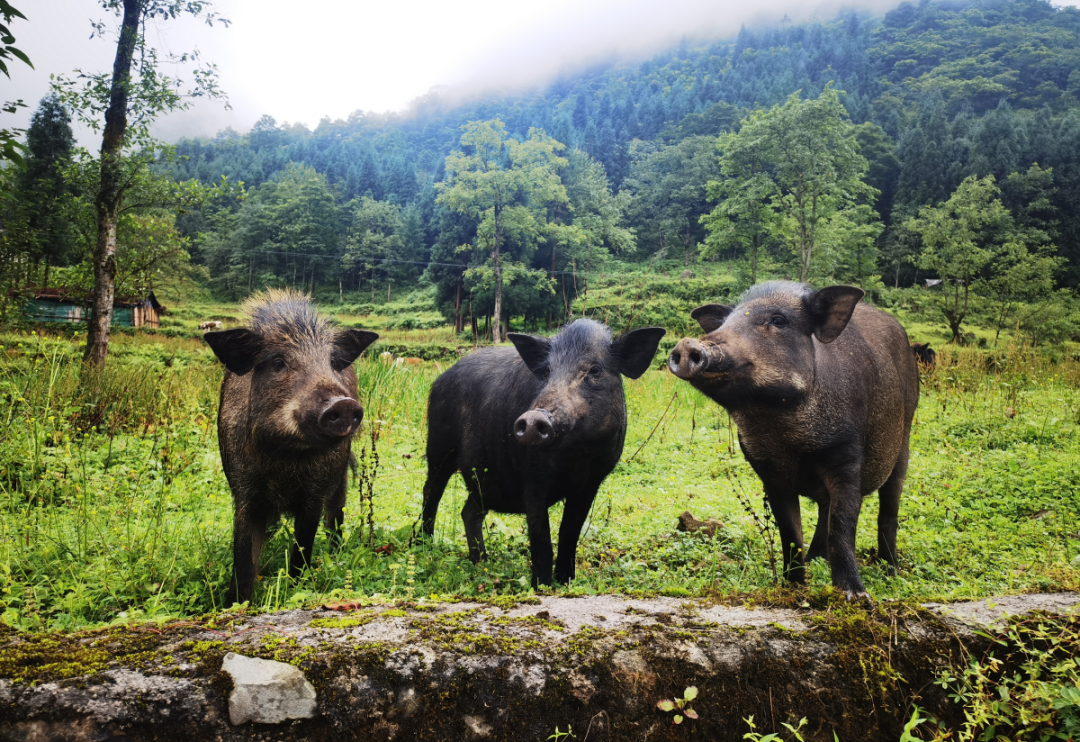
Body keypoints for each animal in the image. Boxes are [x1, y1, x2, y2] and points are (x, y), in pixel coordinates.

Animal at [203, 287, 380, 604]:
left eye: (331, 362)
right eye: (277, 363)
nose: (343, 404)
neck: (284, 456)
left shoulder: (315, 490)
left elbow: (303, 546)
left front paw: (296, 587)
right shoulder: (243, 490)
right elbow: (244, 556)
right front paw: (235, 604)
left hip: (340, 480)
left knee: (336, 517)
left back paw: (337, 553)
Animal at [421, 319, 665, 587]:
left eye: (595, 370)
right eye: (547, 371)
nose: (532, 418)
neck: (576, 457)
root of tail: (440, 378)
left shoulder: (593, 480)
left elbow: (569, 531)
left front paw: (566, 581)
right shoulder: (532, 475)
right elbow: (540, 534)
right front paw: (542, 585)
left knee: (469, 512)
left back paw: (481, 563)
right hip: (439, 445)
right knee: (431, 492)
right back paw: (424, 546)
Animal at [669, 280, 915, 600]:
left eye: (778, 320)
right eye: (725, 322)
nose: (687, 345)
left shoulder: (847, 455)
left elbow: (842, 526)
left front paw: (856, 598)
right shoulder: (768, 472)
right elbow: (790, 532)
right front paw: (792, 588)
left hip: (904, 441)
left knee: (888, 512)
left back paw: (891, 572)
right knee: (824, 510)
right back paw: (816, 559)